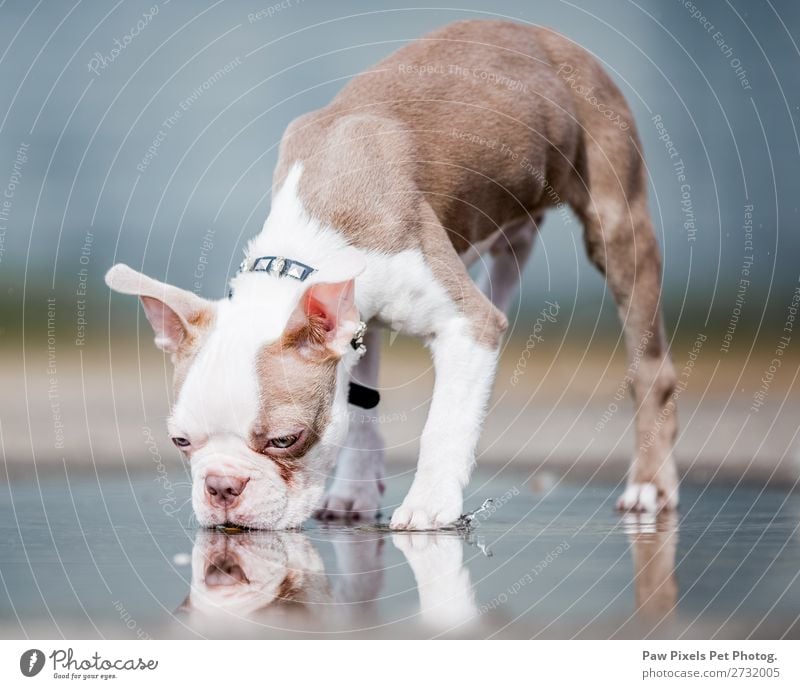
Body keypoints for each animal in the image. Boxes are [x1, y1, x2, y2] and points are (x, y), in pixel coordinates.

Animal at [106, 20, 680, 528]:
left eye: (286, 439)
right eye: (181, 441)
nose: (222, 486)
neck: (309, 243)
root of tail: (545, 33)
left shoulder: (463, 326)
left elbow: (443, 423)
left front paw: (429, 506)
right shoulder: (359, 325)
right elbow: (360, 408)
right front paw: (355, 492)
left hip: (616, 225)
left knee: (649, 366)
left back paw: (650, 486)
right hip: (506, 232)